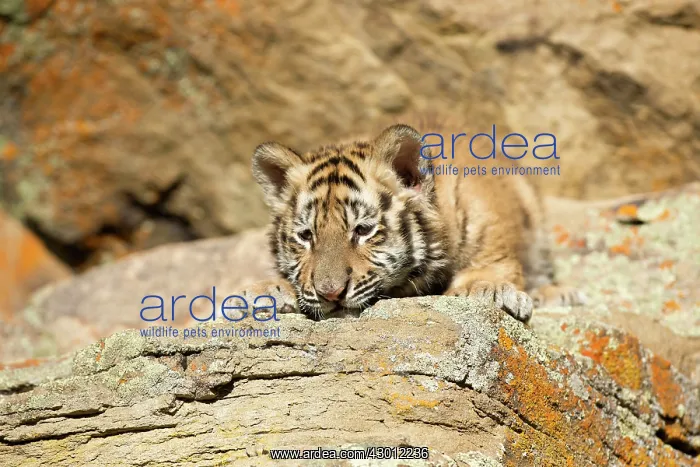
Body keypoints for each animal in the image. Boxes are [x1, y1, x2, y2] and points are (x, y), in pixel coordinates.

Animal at [242, 113, 585, 322]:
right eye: (306, 236)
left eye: (363, 230)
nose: (331, 293)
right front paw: (267, 290)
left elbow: (490, 269)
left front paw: (485, 289)